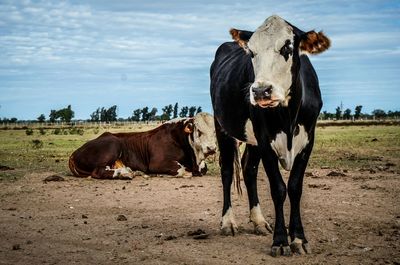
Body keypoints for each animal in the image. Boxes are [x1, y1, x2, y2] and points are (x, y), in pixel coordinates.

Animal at [70, 111, 217, 177]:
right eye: (199, 131)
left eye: (215, 131)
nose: (211, 148)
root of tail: (74, 153)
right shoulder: (157, 163)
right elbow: (182, 170)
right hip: (113, 144)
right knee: (98, 172)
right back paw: (124, 173)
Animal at [211, 14, 330, 256]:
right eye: (251, 52)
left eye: (288, 47)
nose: (260, 91)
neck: (288, 115)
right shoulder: (265, 140)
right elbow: (278, 188)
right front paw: (281, 240)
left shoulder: (308, 140)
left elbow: (294, 188)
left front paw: (299, 238)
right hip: (223, 126)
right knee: (227, 170)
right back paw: (228, 222)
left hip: (253, 140)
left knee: (249, 169)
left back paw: (258, 221)